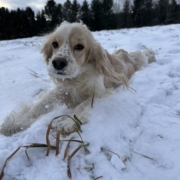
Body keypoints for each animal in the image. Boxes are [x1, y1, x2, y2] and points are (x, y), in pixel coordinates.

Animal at [0, 21, 155, 136]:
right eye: (54, 44)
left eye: (79, 46)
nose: (58, 63)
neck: (76, 79)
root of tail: (124, 54)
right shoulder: (60, 90)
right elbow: (38, 107)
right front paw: (15, 123)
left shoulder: (100, 93)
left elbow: (83, 104)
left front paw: (68, 122)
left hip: (139, 61)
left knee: (144, 55)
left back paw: (151, 54)